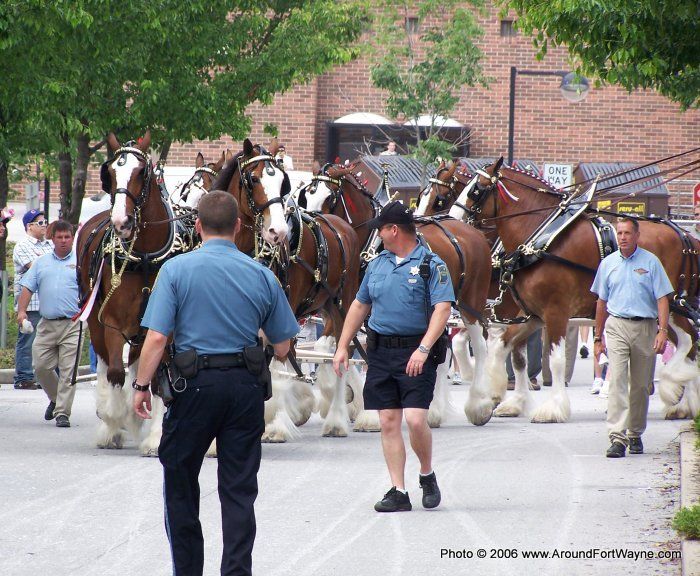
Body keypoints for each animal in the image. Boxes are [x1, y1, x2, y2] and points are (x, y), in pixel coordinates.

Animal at [76, 130, 198, 453]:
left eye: (142, 172)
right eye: (109, 173)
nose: (121, 222)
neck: (143, 256)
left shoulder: (162, 326)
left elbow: (155, 378)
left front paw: (154, 436)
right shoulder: (112, 322)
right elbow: (117, 373)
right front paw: (116, 421)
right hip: (94, 319)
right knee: (107, 365)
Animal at [211, 141, 362, 440]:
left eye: (283, 182)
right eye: (253, 179)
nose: (277, 231)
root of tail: (344, 229)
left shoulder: (283, 311)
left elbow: (279, 365)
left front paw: (275, 425)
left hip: (345, 304)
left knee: (342, 354)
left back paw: (337, 419)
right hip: (325, 306)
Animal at [298, 162, 495, 427]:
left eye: (329, 196)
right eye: (307, 195)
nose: (312, 223)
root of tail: (472, 233)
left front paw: (366, 412)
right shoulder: (344, 308)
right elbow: (331, 346)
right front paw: (344, 398)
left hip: (470, 302)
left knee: (480, 345)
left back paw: (479, 406)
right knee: (440, 353)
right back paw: (434, 411)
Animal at [448, 158, 700, 422]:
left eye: (476, 190)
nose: (452, 218)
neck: (540, 240)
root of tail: (684, 235)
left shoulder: (555, 311)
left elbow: (556, 358)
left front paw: (553, 408)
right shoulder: (532, 315)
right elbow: (509, 350)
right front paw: (507, 399)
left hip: (670, 305)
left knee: (687, 341)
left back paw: (673, 388)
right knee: (690, 343)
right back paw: (684, 404)